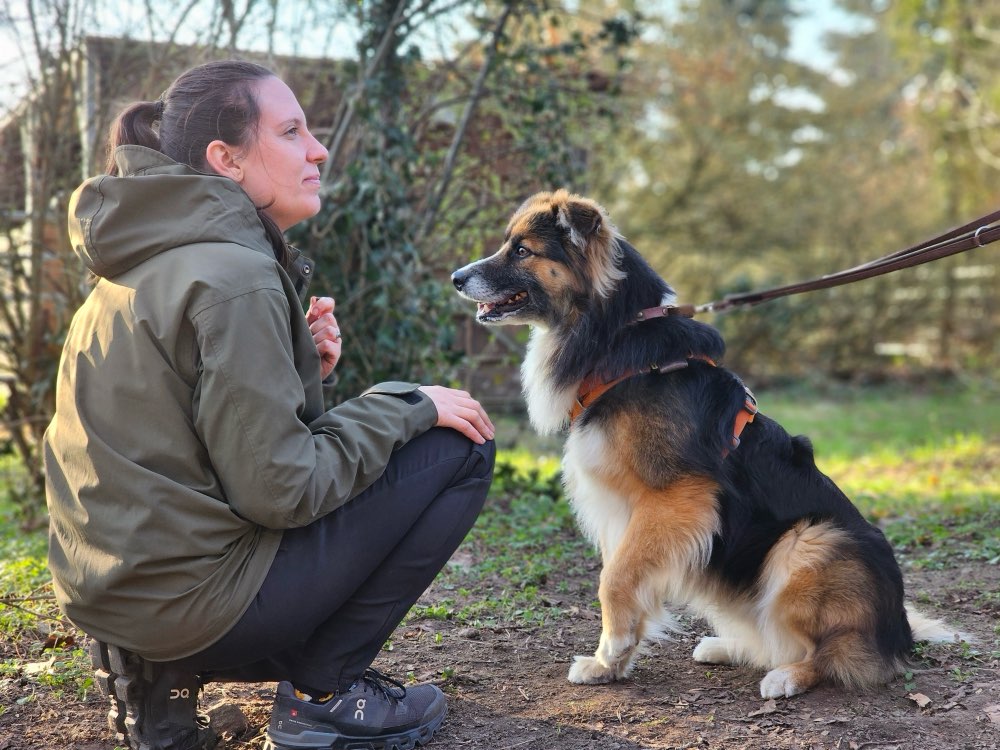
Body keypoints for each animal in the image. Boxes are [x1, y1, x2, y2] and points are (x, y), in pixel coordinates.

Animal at [452, 191, 960, 704]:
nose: (456, 278)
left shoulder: (678, 497)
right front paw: (613, 662)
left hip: (809, 542)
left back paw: (789, 675)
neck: (616, 333)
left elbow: (613, 580)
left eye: (522, 251)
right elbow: (624, 577)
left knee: (836, 653)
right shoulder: (628, 511)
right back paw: (727, 646)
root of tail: (899, 632)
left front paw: (611, 653)